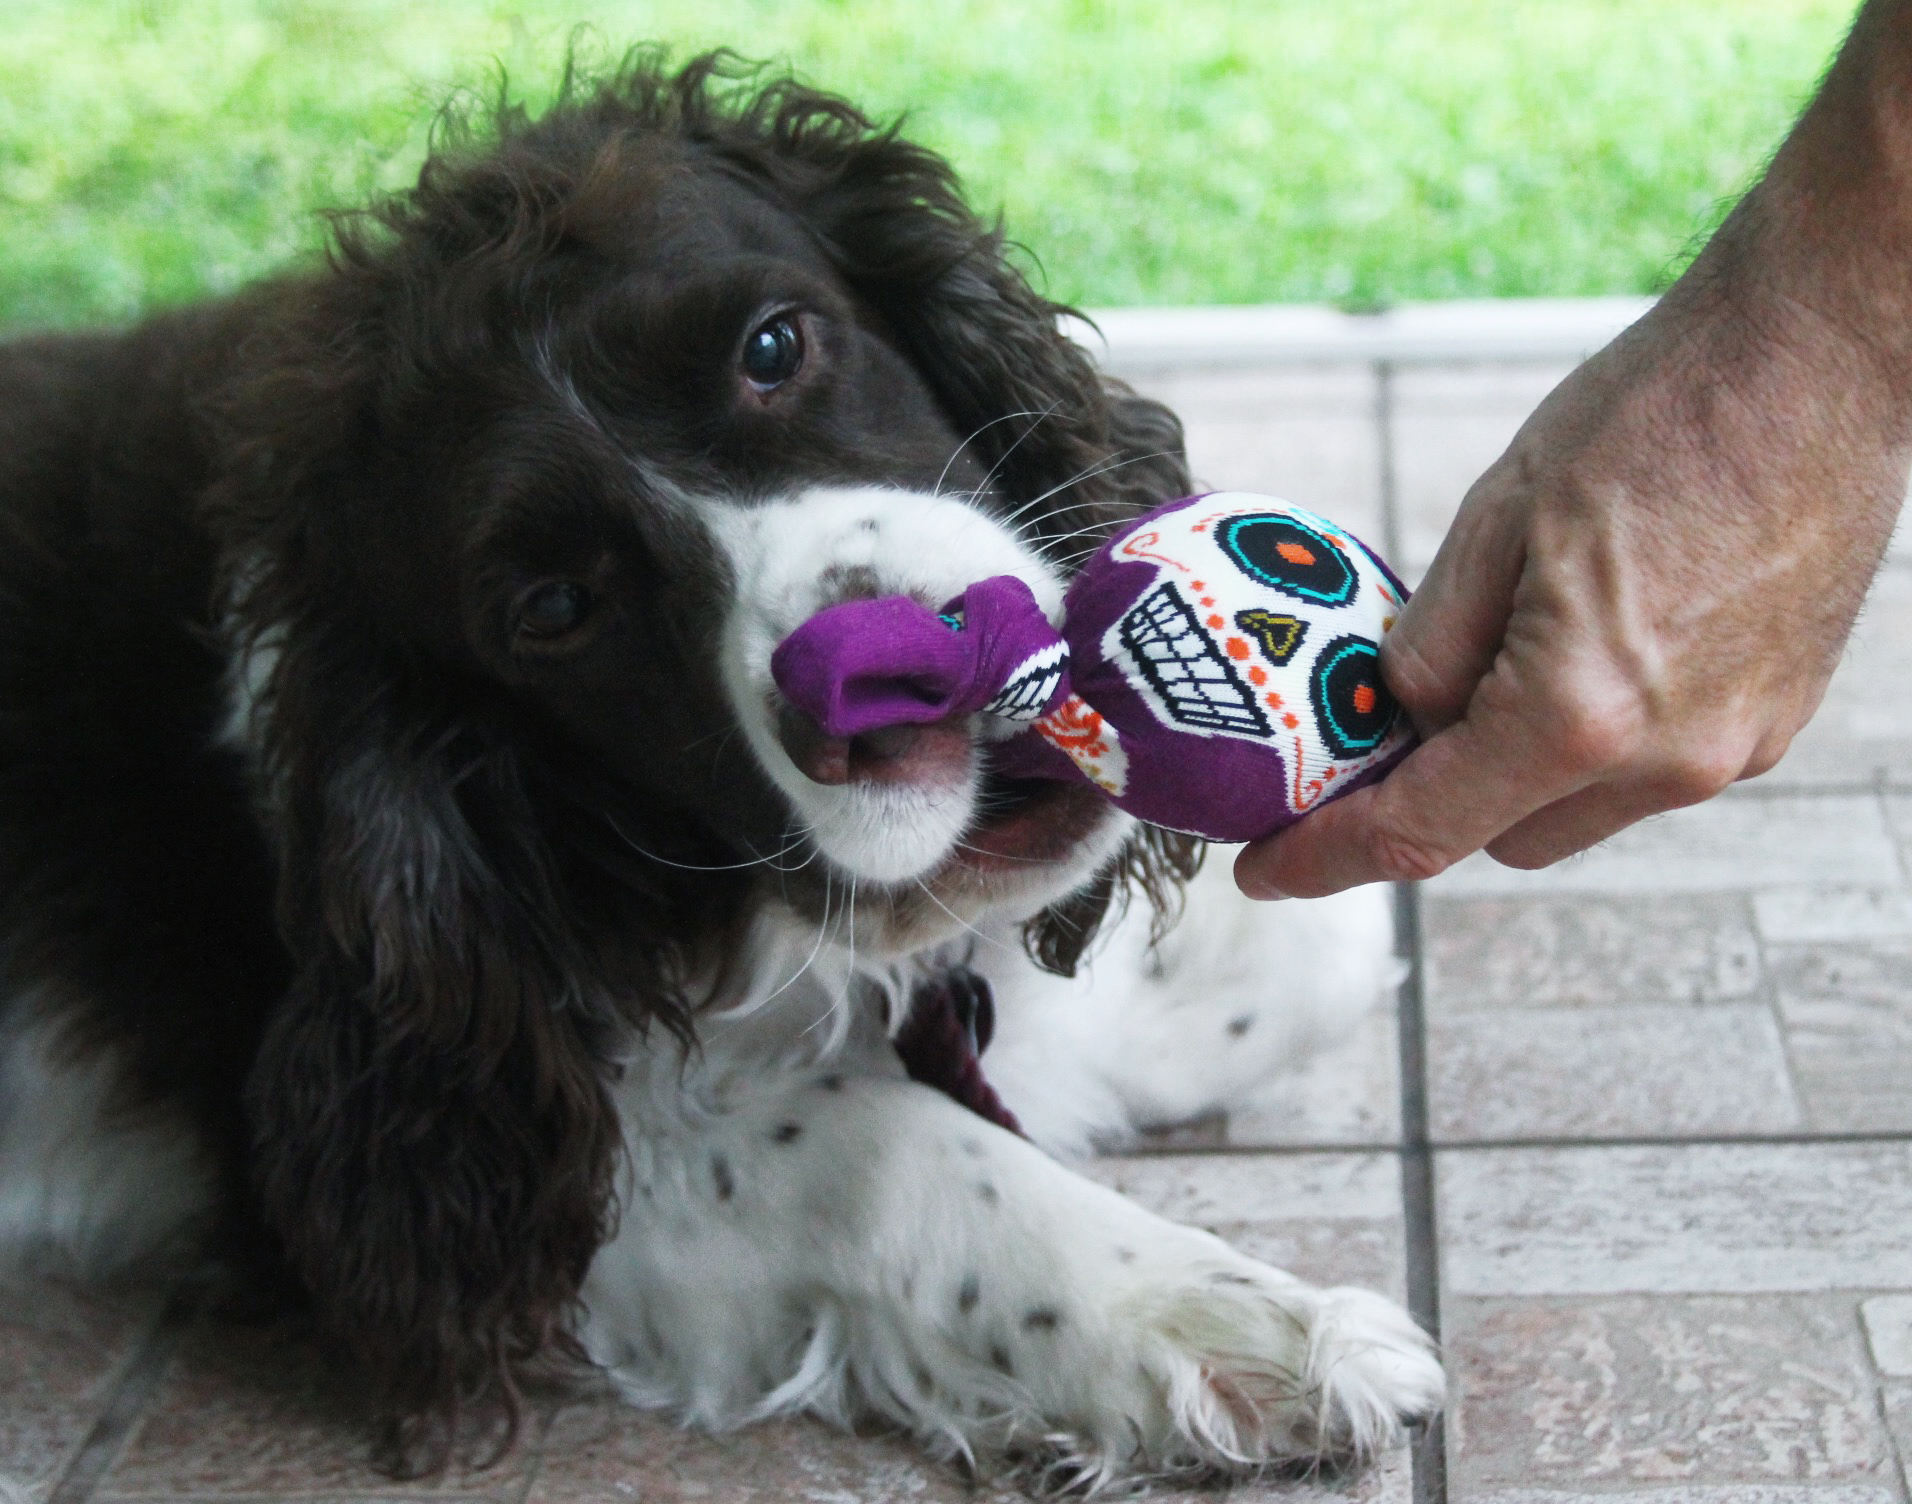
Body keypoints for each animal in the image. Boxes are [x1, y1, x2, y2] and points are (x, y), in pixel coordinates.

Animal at [0, 53, 1437, 1490]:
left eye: (772, 348)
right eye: (552, 607)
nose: (901, 684)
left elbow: (1313, 951)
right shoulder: (454, 1174)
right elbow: (882, 1146)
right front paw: (1229, 1319)